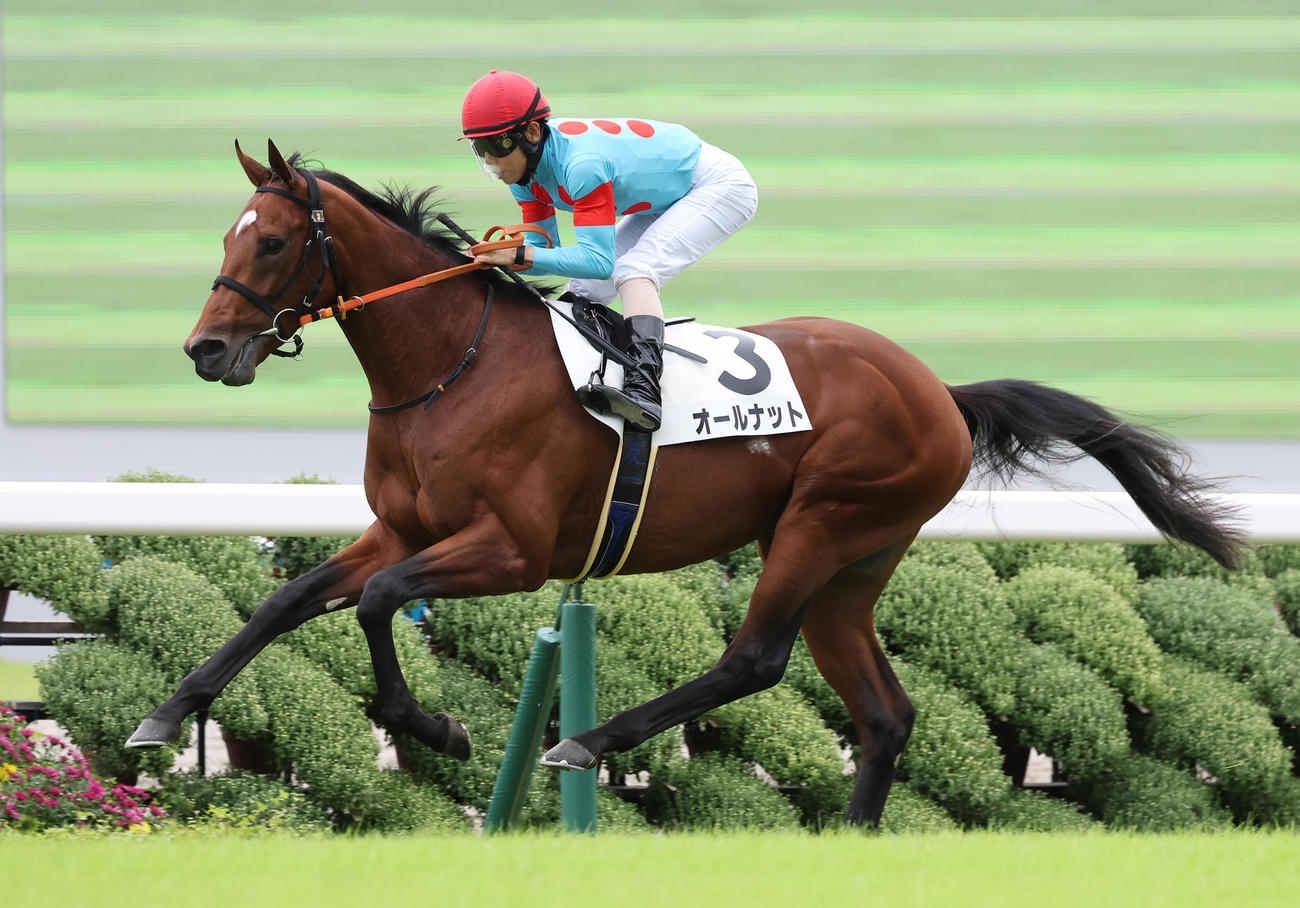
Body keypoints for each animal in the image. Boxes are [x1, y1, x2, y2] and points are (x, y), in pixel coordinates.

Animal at [127, 139, 1242, 826]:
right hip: (854, 563)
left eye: (273, 239)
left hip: (824, 521)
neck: (452, 365)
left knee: (753, 658)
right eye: (226, 236)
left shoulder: (509, 549)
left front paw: (436, 725)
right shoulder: (398, 528)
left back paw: (587, 740)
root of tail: (936, 388)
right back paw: (848, 838)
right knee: (884, 712)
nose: (205, 349)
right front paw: (163, 716)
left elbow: (381, 604)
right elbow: (285, 601)